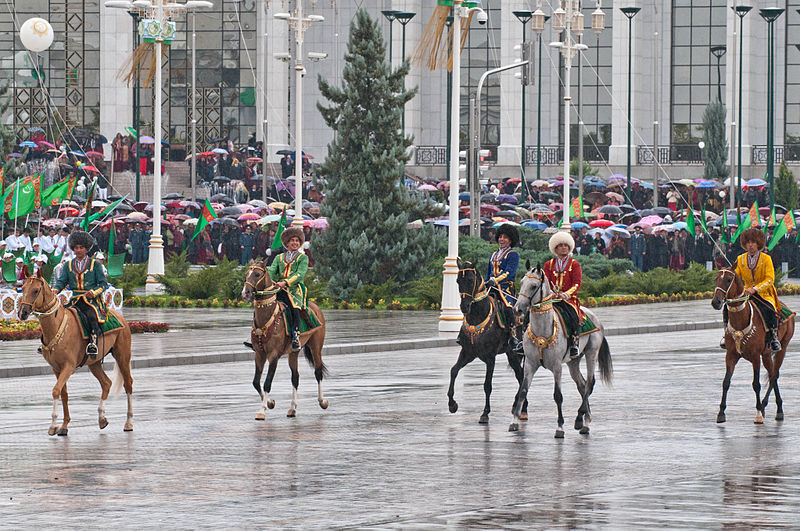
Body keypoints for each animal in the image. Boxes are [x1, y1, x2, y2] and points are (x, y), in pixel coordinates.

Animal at [17, 274, 134, 436]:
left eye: (35, 290)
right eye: (23, 288)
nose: (22, 313)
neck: (57, 327)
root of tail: (119, 316)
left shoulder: (69, 367)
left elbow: (56, 391)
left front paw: (53, 425)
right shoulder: (57, 368)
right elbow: (63, 393)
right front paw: (64, 425)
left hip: (123, 355)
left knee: (128, 383)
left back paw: (128, 422)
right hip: (94, 363)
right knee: (106, 383)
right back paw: (101, 418)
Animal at [241, 260, 328, 420]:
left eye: (257, 274)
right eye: (247, 273)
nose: (246, 293)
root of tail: (315, 306)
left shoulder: (273, 355)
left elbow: (267, 382)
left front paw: (262, 410)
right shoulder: (259, 354)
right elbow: (256, 382)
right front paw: (270, 403)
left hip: (316, 346)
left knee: (318, 372)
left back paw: (322, 401)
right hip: (293, 352)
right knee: (295, 377)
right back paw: (292, 409)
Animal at [446, 260, 528, 424]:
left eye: (471, 280)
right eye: (457, 280)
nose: (464, 307)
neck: (478, 315)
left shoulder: (490, 357)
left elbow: (487, 385)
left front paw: (485, 413)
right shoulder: (467, 353)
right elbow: (454, 371)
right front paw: (452, 404)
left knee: (521, 376)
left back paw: (522, 409)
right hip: (511, 354)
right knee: (520, 375)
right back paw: (519, 406)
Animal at [506, 264, 612, 438]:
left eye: (533, 286)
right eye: (521, 283)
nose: (518, 309)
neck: (542, 330)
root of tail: (593, 316)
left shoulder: (556, 367)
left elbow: (557, 396)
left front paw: (560, 428)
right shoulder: (529, 364)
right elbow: (523, 391)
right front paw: (514, 422)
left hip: (591, 353)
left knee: (590, 383)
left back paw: (583, 420)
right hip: (573, 361)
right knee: (582, 385)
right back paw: (583, 418)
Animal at [708, 270, 792, 424]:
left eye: (728, 280)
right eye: (716, 278)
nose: (716, 302)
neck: (740, 321)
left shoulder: (755, 357)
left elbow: (756, 384)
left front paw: (758, 414)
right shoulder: (731, 355)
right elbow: (726, 382)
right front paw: (721, 412)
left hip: (782, 348)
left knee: (774, 375)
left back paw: (775, 409)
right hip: (766, 355)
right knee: (772, 375)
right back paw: (769, 407)